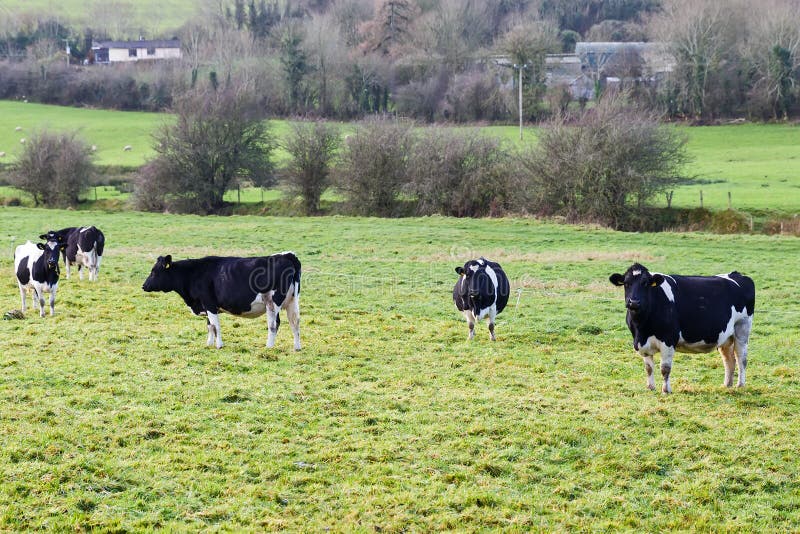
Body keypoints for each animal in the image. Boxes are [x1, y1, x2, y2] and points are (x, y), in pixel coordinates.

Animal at [142, 252, 302, 352]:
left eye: (154, 272)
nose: (144, 286)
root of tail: (287, 255)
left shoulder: (209, 304)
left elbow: (215, 326)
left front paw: (219, 345)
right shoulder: (206, 306)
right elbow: (209, 326)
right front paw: (208, 344)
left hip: (272, 303)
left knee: (274, 324)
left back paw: (269, 346)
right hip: (292, 301)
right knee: (295, 322)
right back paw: (297, 347)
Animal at [612, 262, 756, 394]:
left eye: (645, 283)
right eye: (626, 283)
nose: (634, 302)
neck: (642, 328)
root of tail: (737, 274)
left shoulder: (668, 340)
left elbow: (665, 369)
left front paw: (666, 390)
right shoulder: (642, 344)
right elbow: (649, 368)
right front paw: (651, 388)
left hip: (742, 329)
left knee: (741, 359)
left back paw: (740, 385)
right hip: (726, 337)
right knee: (729, 360)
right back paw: (727, 385)